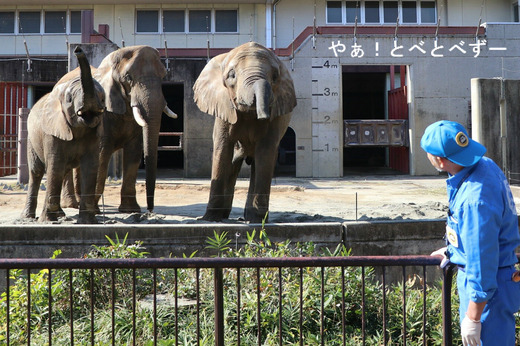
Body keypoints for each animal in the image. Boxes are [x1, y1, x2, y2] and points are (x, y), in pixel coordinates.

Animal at [21, 46, 105, 224]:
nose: (78, 49)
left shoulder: (94, 134)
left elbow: (90, 166)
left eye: (102, 98)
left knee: (63, 170)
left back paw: (60, 214)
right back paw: (30, 217)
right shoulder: (51, 133)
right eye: (69, 99)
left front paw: (87, 221)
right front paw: (47, 220)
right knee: (37, 172)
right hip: (31, 139)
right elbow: (55, 164)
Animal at [61, 46, 177, 214]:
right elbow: (101, 154)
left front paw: (130, 210)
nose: (150, 210)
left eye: (163, 76)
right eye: (128, 78)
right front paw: (94, 210)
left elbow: (133, 153)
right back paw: (70, 205)